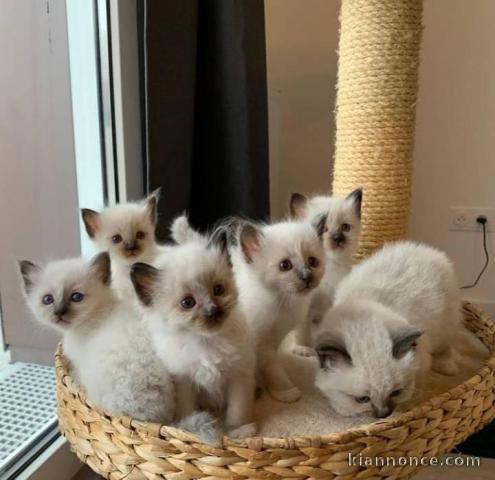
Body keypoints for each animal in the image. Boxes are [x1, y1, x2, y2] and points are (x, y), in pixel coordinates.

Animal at [130, 232, 258, 438]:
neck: (206, 343)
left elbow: (237, 411)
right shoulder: (184, 383)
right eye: (187, 303)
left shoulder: (239, 376)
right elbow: (187, 410)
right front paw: (188, 428)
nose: (213, 310)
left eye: (218, 290)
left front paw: (238, 431)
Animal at [231, 219, 328, 404]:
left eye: (312, 261)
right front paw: (285, 391)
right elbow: (273, 368)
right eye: (285, 265)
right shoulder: (261, 343)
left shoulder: (276, 338)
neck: (282, 303)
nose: (307, 277)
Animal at [290, 188, 364, 356]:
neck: (330, 268)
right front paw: (303, 350)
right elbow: (302, 333)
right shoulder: (304, 310)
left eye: (345, 227)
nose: (337, 238)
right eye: (324, 229)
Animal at [314, 242, 464, 418]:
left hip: (446, 325)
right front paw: (344, 409)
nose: (383, 414)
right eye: (363, 399)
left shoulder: (422, 362)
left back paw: (449, 368)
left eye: (395, 393)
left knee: (445, 348)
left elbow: (414, 388)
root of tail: (426, 249)